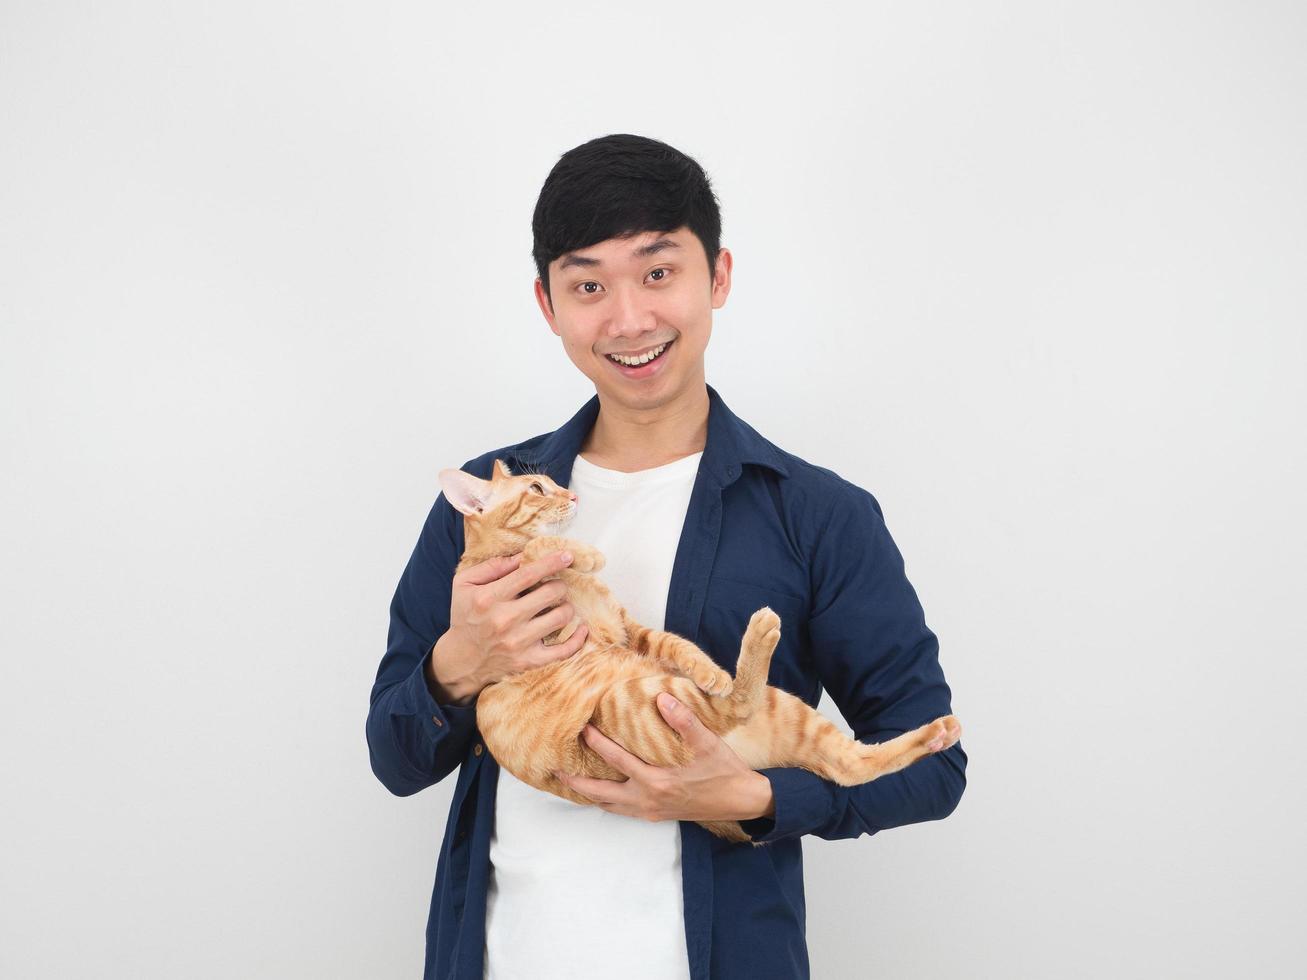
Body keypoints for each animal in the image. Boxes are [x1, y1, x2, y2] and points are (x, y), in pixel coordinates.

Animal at [439, 459, 961, 846]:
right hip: (633, 706)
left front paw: (710, 671)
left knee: (847, 766)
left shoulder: (627, 629)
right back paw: (762, 633)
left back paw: (937, 732)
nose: (572, 497)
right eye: (536, 488)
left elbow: (677, 644)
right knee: (742, 710)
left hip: (776, 709)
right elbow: (537, 551)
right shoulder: (540, 628)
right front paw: (583, 552)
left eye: (551, 483)